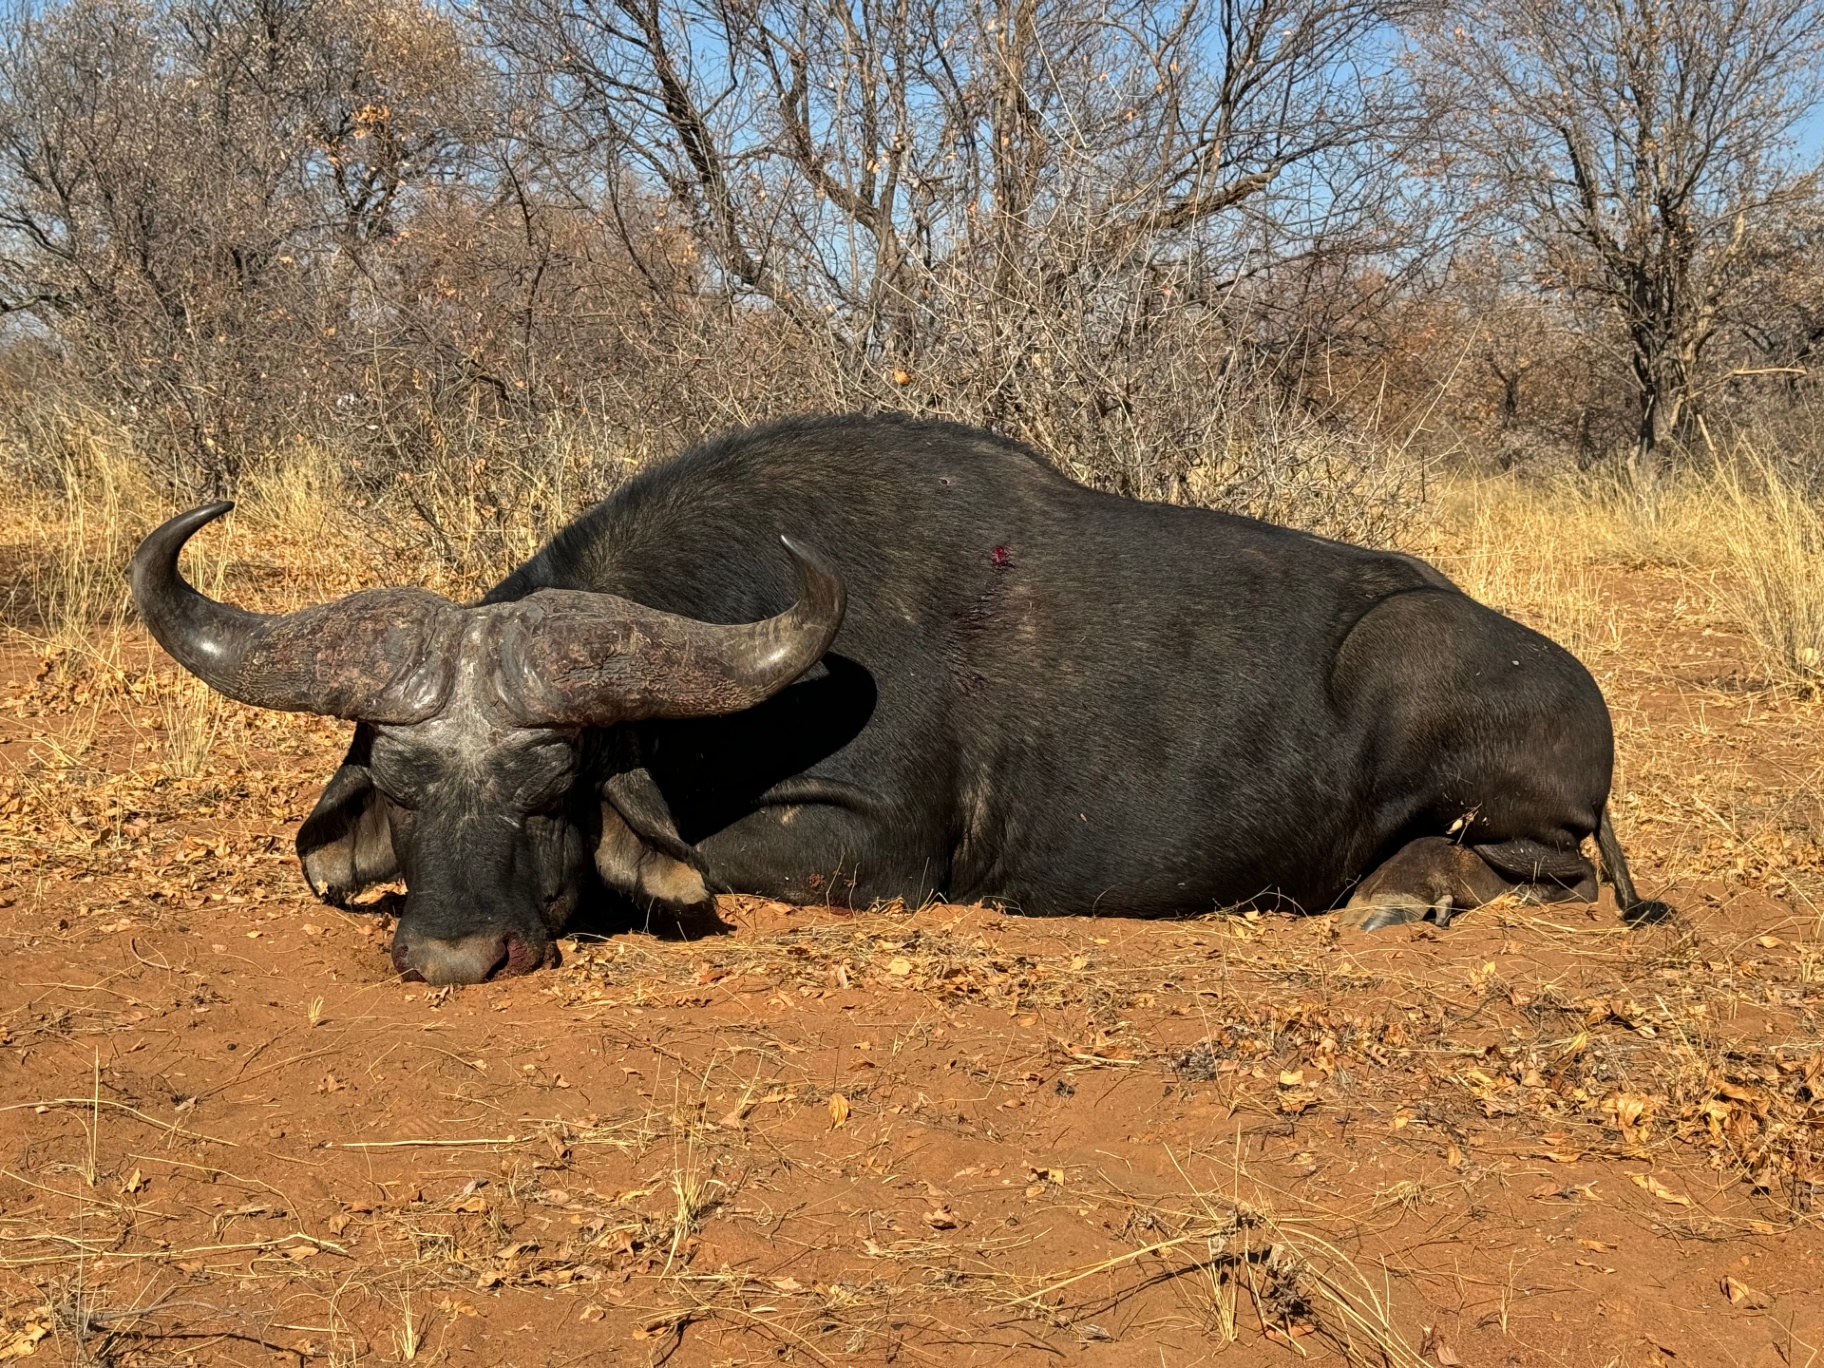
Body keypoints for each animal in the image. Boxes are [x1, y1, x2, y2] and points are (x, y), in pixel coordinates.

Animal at [129, 413, 1667, 984]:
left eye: (552, 789)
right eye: (398, 788)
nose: (453, 957)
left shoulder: (868, 851)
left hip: (1448, 717)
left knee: (1526, 866)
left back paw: (1405, 892)